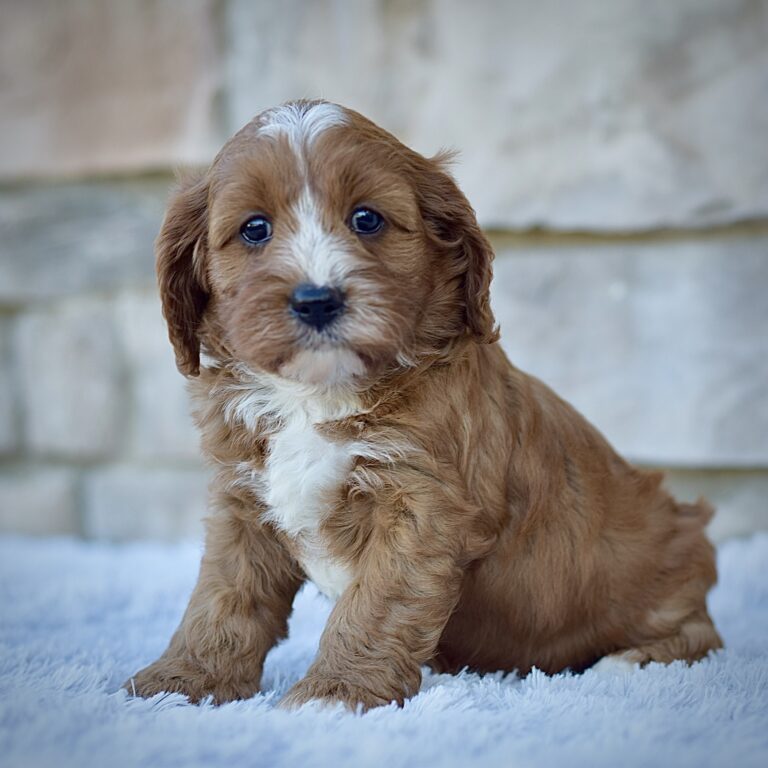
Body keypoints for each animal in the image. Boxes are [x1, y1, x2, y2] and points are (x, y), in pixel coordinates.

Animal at [124, 99, 720, 712]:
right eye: (254, 229)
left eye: (367, 219)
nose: (317, 300)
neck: (317, 394)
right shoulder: (244, 499)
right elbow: (222, 596)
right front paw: (183, 681)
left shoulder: (422, 502)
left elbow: (376, 602)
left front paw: (334, 693)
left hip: (671, 576)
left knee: (700, 635)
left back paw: (626, 661)